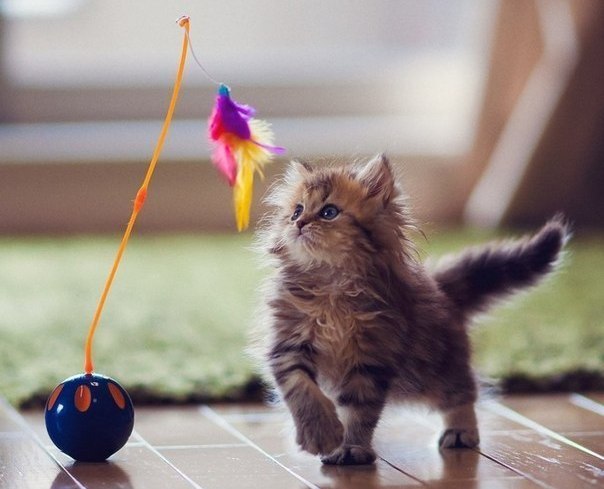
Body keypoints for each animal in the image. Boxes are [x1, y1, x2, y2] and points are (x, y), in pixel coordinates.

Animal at [252, 154, 569, 466]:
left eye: (329, 212)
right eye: (296, 211)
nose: (299, 224)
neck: (331, 286)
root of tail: (439, 288)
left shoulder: (372, 357)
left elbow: (359, 410)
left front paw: (351, 447)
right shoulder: (288, 343)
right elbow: (301, 389)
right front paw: (322, 434)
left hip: (435, 368)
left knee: (463, 393)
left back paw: (460, 431)